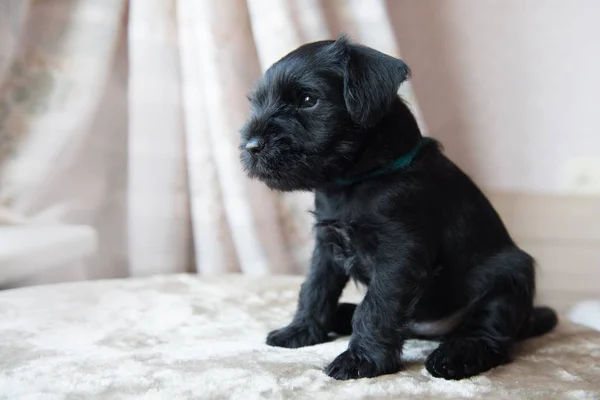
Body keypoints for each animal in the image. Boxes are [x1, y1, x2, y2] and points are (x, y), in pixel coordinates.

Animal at [239, 35, 556, 382]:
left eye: (308, 99)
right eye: (256, 102)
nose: (251, 146)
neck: (354, 181)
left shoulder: (399, 250)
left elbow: (375, 307)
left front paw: (360, 360)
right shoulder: (325, 246)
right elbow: (314, 289)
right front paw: (299, 332)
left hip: (509, 277)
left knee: (491, 335)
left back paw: (456, 355)